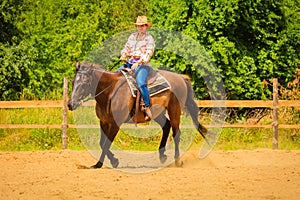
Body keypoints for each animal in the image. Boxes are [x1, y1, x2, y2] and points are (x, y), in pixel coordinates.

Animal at [67, 61, 209, 168]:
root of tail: (181, 78)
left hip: (174, 110)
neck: (111, 91)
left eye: (84, 83)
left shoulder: (115, 123)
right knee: (166, 126)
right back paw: (162, 156)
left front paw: (100, 164)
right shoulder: (104, 122)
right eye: (73, 81)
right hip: (157, 113)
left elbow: (106, 143)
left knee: (176, 133)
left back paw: (177, 161)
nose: (70, 104)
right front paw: (111, 161)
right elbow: (102, 143)